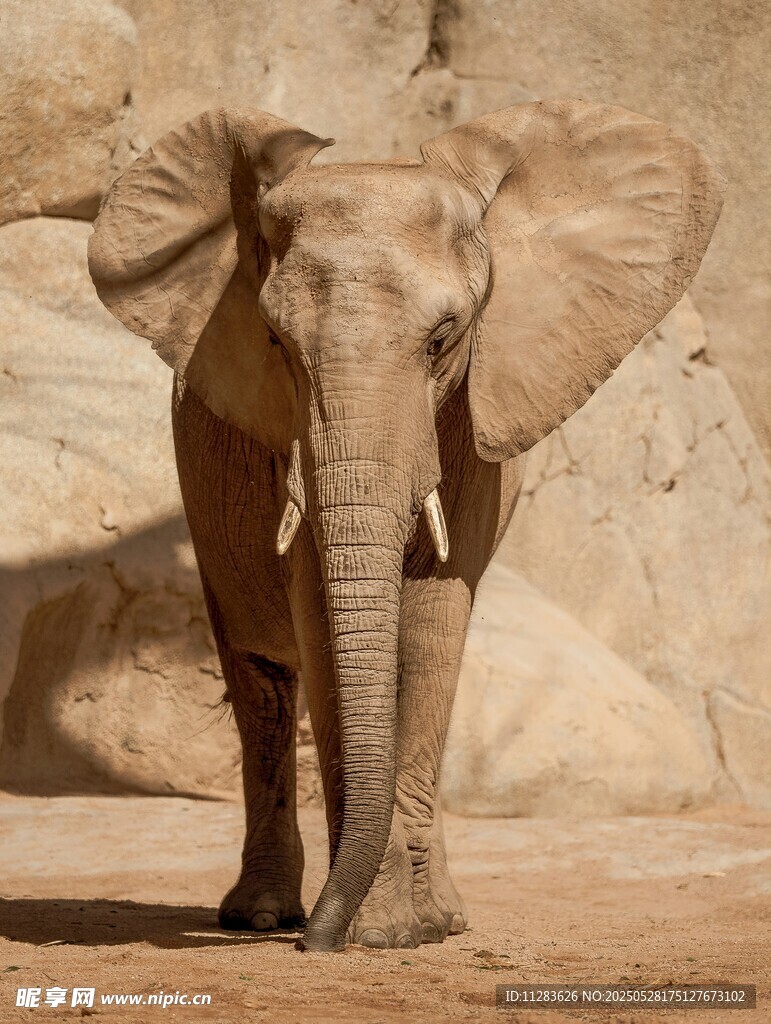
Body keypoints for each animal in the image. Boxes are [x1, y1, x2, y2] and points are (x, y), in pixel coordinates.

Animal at [88, 100, 725, 952]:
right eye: (276, 343)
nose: (314, 943)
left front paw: (405, 930)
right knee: (260, 682)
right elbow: (321, 623)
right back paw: (260, 915)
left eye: (443, 339)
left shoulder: (474, 421)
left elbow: (429, 623)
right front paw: (370, 929)